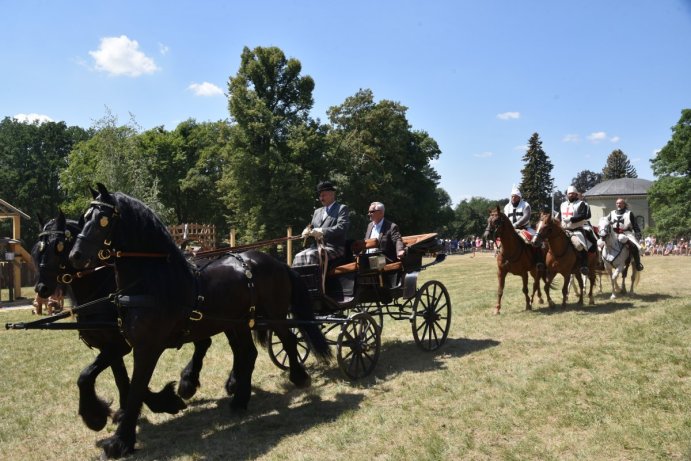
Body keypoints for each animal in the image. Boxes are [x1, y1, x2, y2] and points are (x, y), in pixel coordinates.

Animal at [33, 214, 211, 430]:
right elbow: (120, 378)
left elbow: (90, 376)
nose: (41, 287)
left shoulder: (120, 345)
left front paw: (95, 416)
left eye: (58, 246)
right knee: (204, 342)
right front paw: (129, 408)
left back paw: (187, 383)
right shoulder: (108, 346)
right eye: (39, 248)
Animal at [69, 183, 330, 456]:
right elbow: (104, 379)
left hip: (274, 315)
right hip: (238, 322)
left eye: (102, 219)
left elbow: (136, 389)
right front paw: (99, 418)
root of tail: (278, 263)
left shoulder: (147, 347)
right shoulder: (124, 344)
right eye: (84, 218)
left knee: (288, 340)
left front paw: (121, 440)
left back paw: (298, 377)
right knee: (248, 353)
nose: (75, 256)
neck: (153, 281)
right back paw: (240, 400)